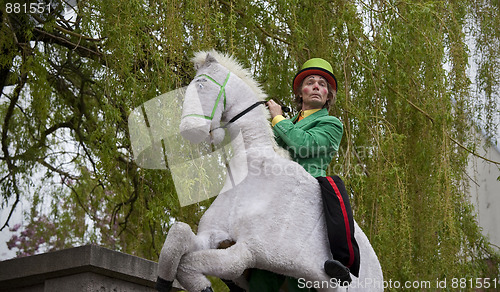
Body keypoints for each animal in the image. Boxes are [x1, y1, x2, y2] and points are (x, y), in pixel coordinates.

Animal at [156, 51, 382, 290]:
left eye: (201, 84)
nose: (190, 130)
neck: (254, 172)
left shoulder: (249, 251)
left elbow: (192, 264)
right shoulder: (214, 235)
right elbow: (177, 236)